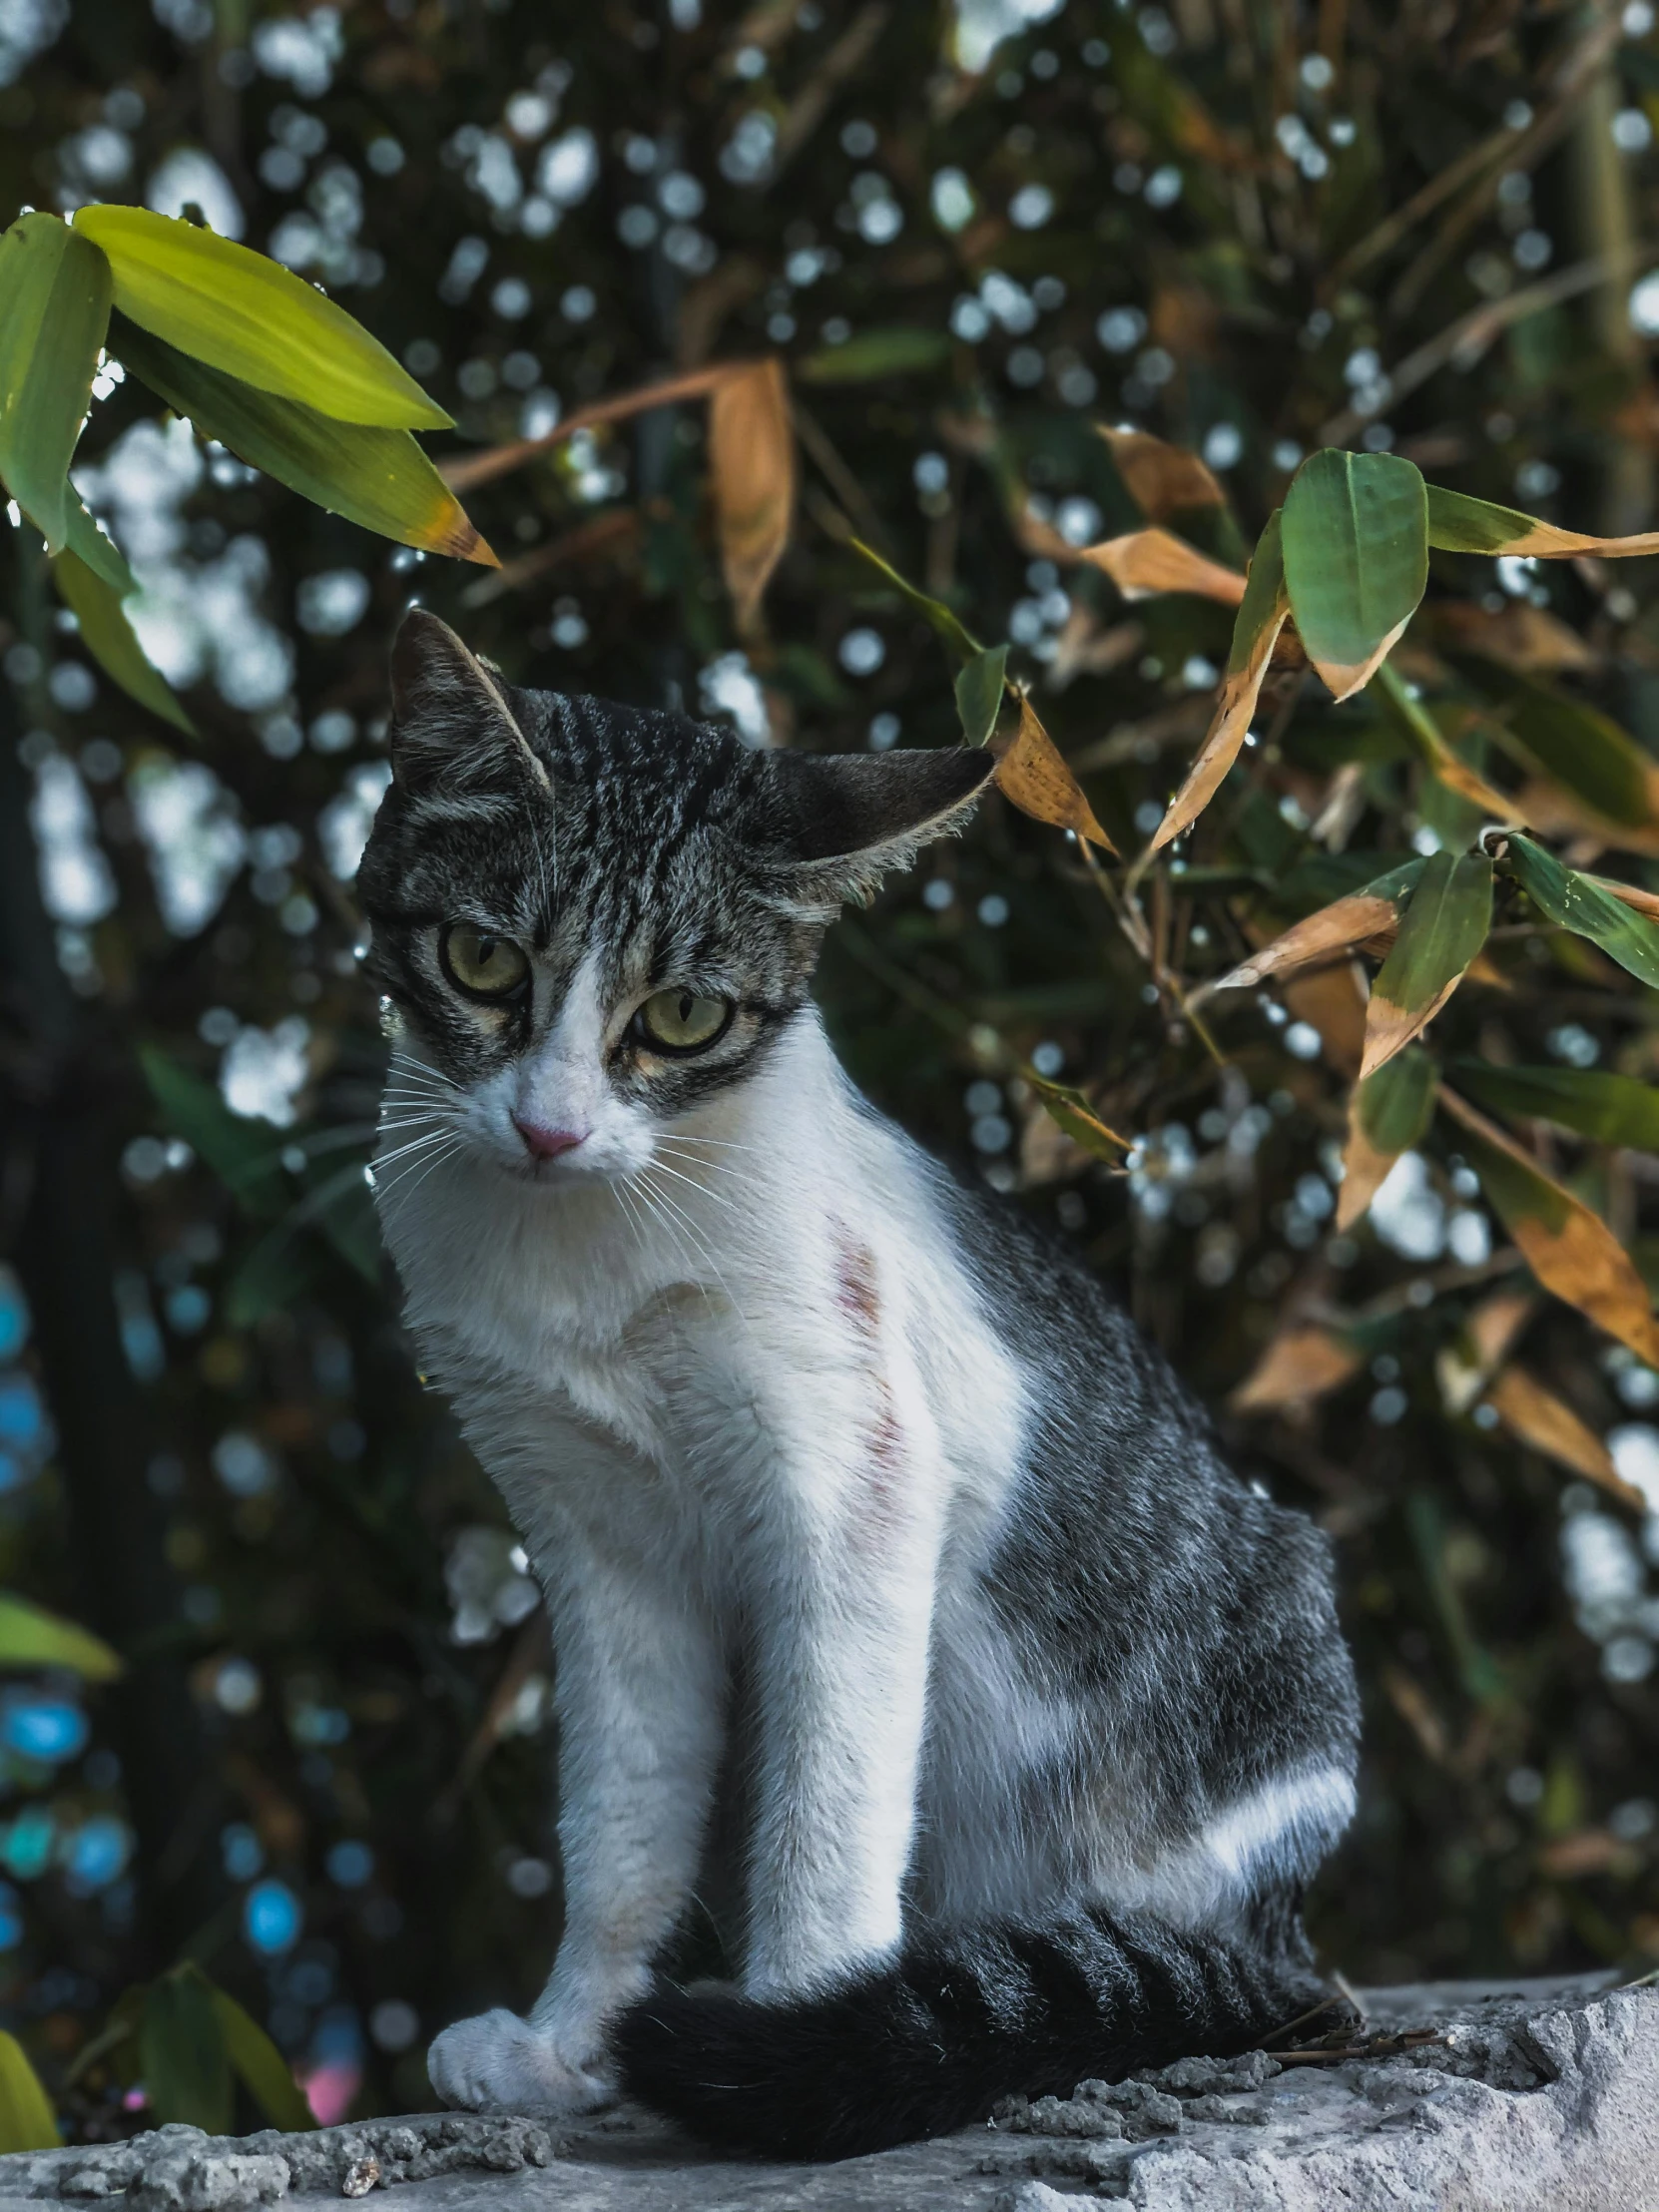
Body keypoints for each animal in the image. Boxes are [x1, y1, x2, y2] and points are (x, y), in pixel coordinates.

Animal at [357, 610, 1354, 2158]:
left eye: (683, 1014)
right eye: (479, 960)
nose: (549, 1127)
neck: (596, 1245)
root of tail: (1291, 1951)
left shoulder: (856, 1482)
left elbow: (824, 1811)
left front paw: (801, 2047)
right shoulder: (594, 1535)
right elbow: (622, 1824)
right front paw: (567, 2045)